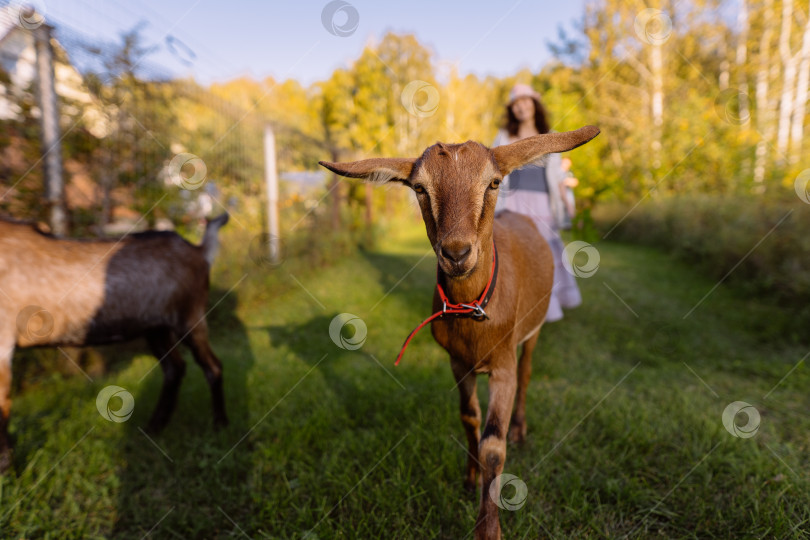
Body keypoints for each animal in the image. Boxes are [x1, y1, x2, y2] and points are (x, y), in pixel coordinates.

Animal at [0, 213, 229, 470]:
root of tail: (199, 250)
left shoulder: (3, 339)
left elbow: (2, 406)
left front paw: (6, 470)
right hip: (156, 329)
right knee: (175, 368)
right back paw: (155, 427)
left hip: (190, 317)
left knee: (212, 366)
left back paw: (219, 426)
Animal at [322, 127, 600, 540]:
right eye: (420, 188)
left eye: (494, 182)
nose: (456, 253)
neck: (475, 314)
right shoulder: (457, 362)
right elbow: (469, 418)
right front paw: (469, 479)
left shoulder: (502, 363)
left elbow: (493, 445)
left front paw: (488, 528)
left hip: (531, 332)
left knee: (528, 372)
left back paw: (520, 428)